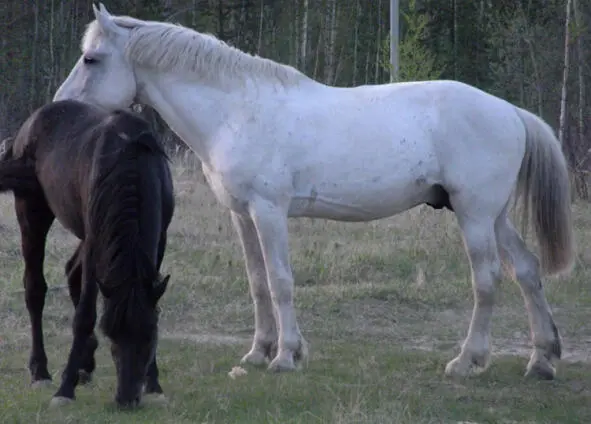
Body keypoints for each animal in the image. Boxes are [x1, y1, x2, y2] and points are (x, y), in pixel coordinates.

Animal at [0, 99, 175, 408]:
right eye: (112, 336)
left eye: (148, 337)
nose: (127, 400)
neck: (132, 163)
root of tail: (29, 124)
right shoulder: (95, 242)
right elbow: (84, 315)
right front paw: (64, 390)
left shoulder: (158, 240)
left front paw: (154, 385)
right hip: (32, 212)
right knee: (35, 289)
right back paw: (41, 372)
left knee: (71, 270)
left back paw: (85, 364)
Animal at [54, 2, 572, 380]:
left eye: (92, 59)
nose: (59, 108)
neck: (236, 110)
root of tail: (509, 111)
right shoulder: (242, 215)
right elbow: (258, 282)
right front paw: (258, 352)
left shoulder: (269, 212)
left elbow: (281, 281)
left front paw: (286, 355)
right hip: (494, 216)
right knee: (527, 271)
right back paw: (542, 359)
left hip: (474, 214)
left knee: (487, 280)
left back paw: (468, 361)